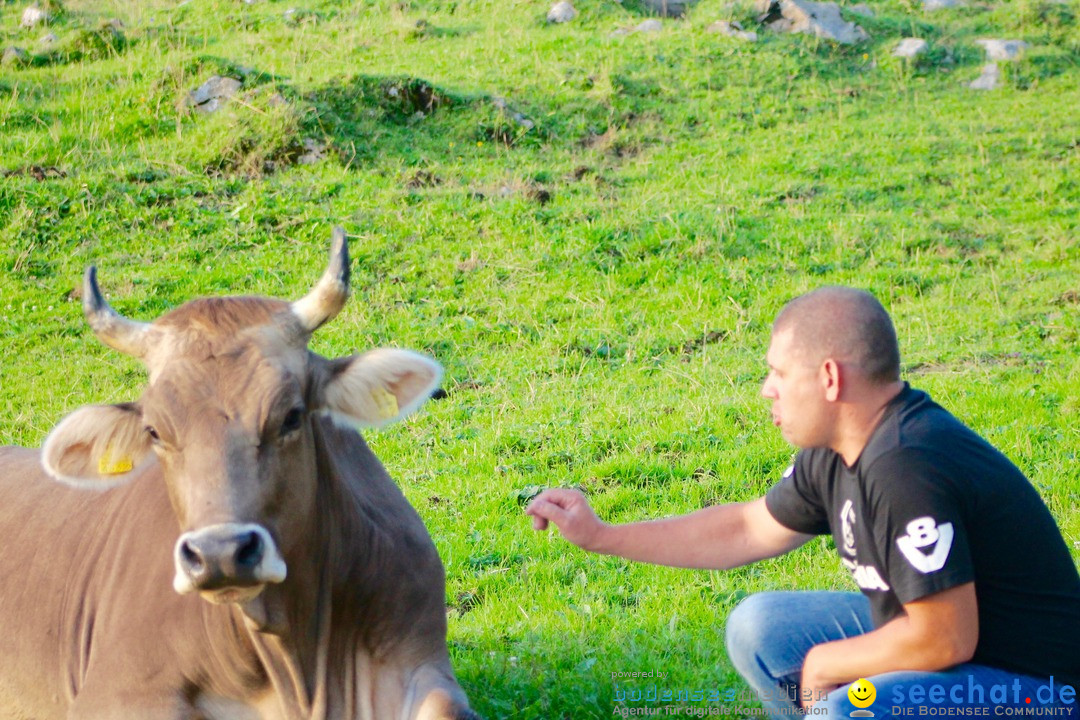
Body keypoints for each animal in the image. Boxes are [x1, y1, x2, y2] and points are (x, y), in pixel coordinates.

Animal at [0, 229, 481, 720]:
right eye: (155, 431)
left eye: (291, 416)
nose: (220, 554)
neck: (303, 669)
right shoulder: (117, 689)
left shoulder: (421, 658)